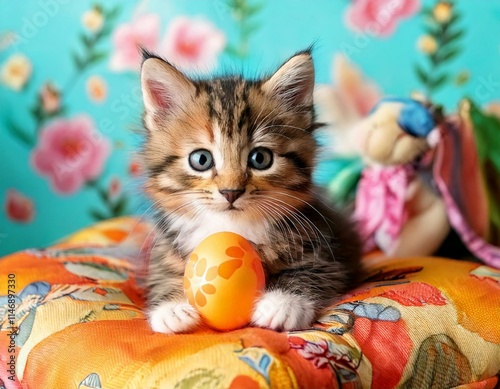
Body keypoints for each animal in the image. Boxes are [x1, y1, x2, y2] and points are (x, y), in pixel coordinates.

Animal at [139, 49, 362, 334]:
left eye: (260, 158)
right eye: (201, 160)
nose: (231, 192)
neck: (231, 228)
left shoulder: (328, 253)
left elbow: (310, 272)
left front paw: (283, 304)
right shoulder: (164, 252)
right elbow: (162, 276)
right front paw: (171, 308)